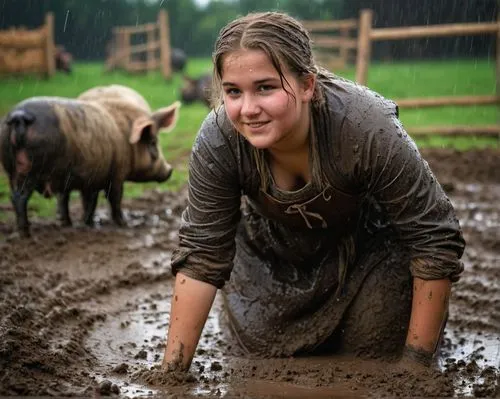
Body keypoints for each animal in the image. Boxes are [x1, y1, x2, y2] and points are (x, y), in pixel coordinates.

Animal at [0, 96, 180, 238]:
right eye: (153, 142)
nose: (170, 170)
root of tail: (19, 115)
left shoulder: (91, 177)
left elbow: (86, 201)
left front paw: (85, 224)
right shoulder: (117, 174)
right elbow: (114, 199)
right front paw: (123, 224)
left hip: (11, 171)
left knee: (17, 196)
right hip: (30, 170)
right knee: (20, 198)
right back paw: (25, 234)